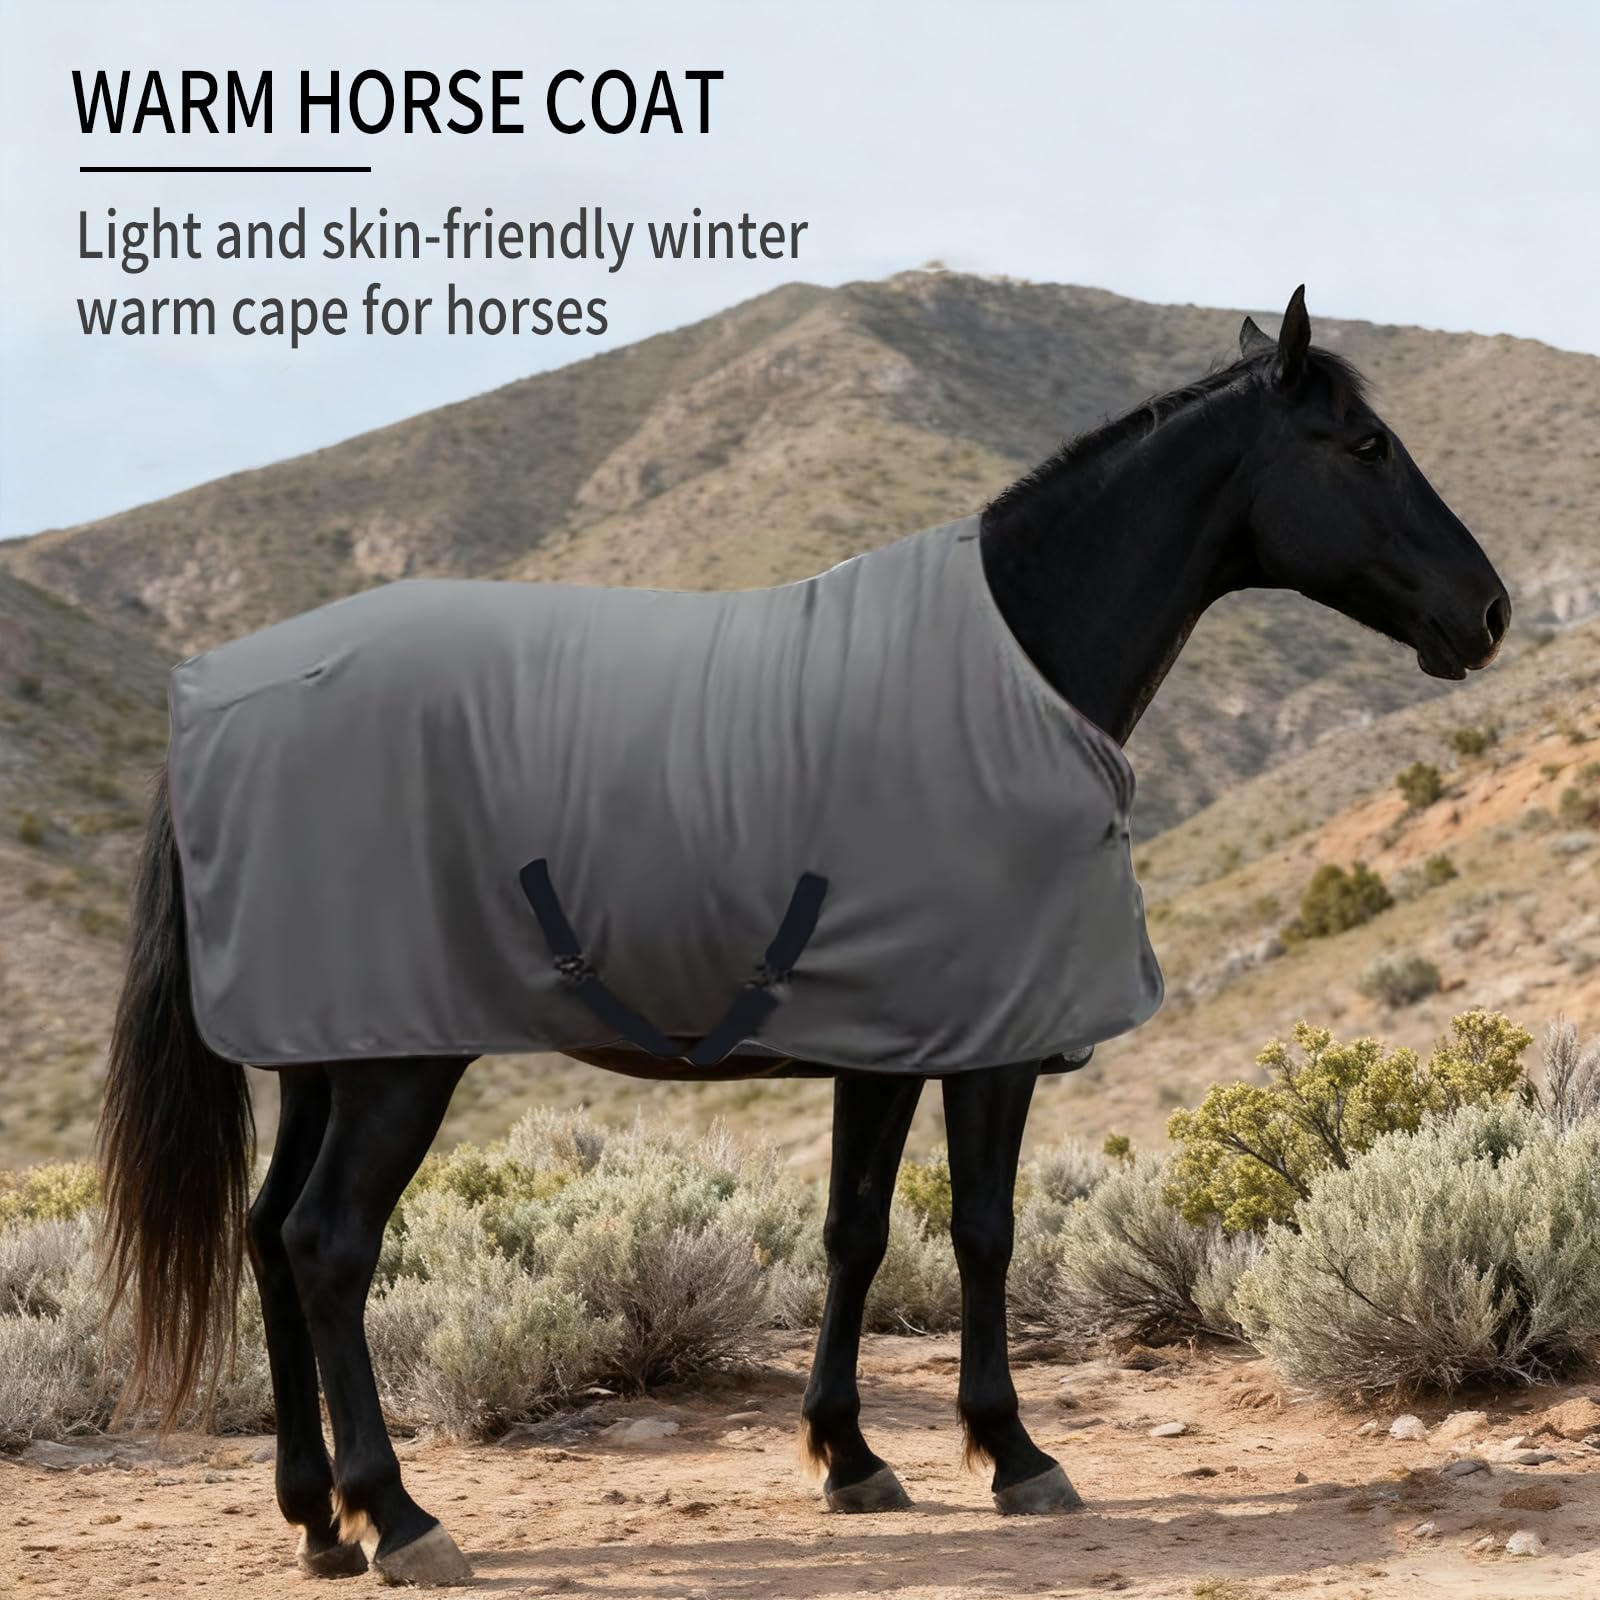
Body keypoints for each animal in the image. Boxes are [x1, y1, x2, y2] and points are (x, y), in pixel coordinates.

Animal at [98, 288, 1510, 1584]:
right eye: (1366, 446)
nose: (1489, 611)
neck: (1013, 665)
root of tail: (218, 705)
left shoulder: (884, 1040)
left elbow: (858, 1230)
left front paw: (852, 1455)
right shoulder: (992, 1045)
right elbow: (983, 1230)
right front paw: (1014, 1453)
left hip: (325, 1047)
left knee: (267, 1235)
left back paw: (314, 1520)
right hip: (399, 1059)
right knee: (329, 1243)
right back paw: (397, 1518)